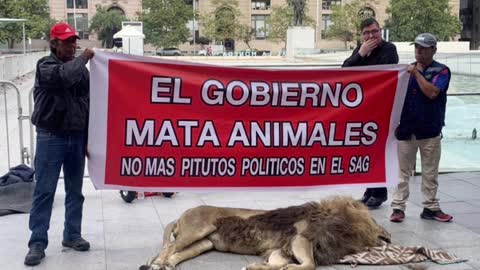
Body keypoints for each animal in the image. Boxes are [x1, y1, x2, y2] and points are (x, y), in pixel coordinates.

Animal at [139, 196, 390, 270]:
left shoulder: (283, 249)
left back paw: (166, 265)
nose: (385, 238)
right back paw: (157, 264)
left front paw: (255, 267)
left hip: (204, 243)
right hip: (196, 230)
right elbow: (309, 264)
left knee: (176, 254)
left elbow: (277, 264)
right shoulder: (300, 238)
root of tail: (184, 213)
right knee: (170, 247)